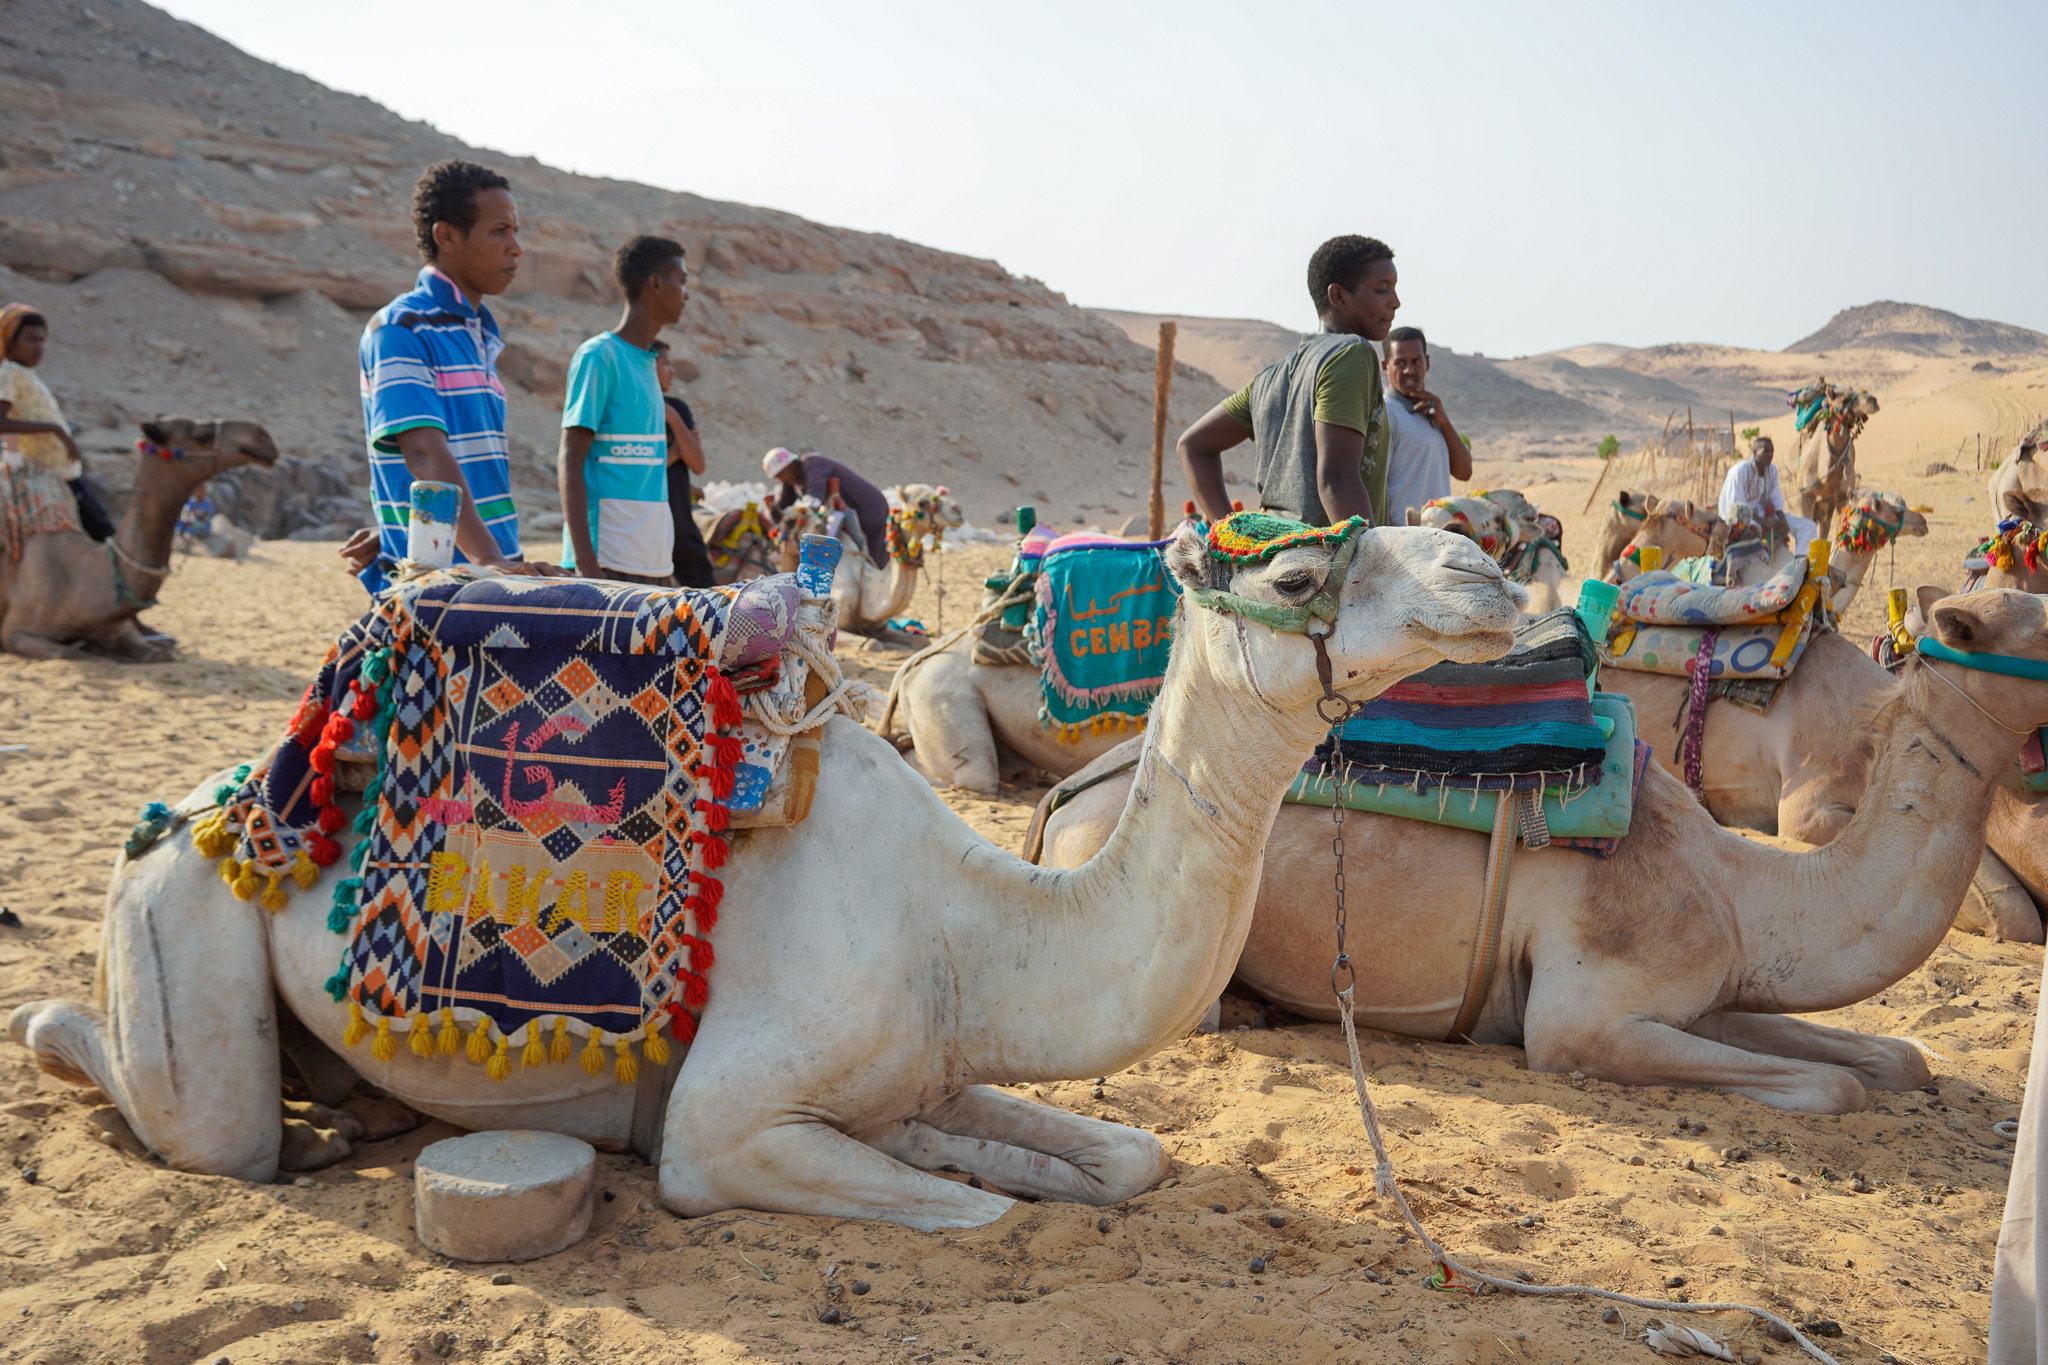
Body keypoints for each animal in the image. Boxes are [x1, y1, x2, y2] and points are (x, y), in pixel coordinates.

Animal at [1, 417, 277, 660]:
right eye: (201, 435)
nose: (264, 437)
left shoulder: (117, 629)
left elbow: (159, 655)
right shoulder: (14, 631)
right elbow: (68, 652)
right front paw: (88, 647)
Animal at [9, 521, 1525, 1229]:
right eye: (1303, 565)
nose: (1486, 567)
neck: (969, 928)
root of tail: (208, 806)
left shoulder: (933, 1050)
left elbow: (1128, 1151)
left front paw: (975, 1147)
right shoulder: (721, 1122)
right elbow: (971, 1205)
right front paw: (952, 1166)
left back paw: (358, 1110)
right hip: (182, 915)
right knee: (191, 1114)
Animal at [1792, 387, 1880, 532]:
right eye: (1844, 399)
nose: (1873, 401)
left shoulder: (1843, 497)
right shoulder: (1803, 495)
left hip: (1827, 504)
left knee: (1824, 524)